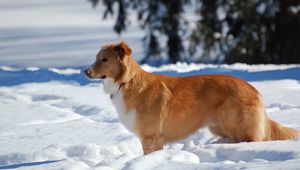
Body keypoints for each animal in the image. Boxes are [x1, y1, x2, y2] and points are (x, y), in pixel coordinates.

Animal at [84, 41, 300, 155]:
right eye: (96, 58)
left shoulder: (151, 138)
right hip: (220, 127)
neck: (125, 82)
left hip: (237, 126)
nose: (85, 72)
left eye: (104, 60)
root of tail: (253, 89)